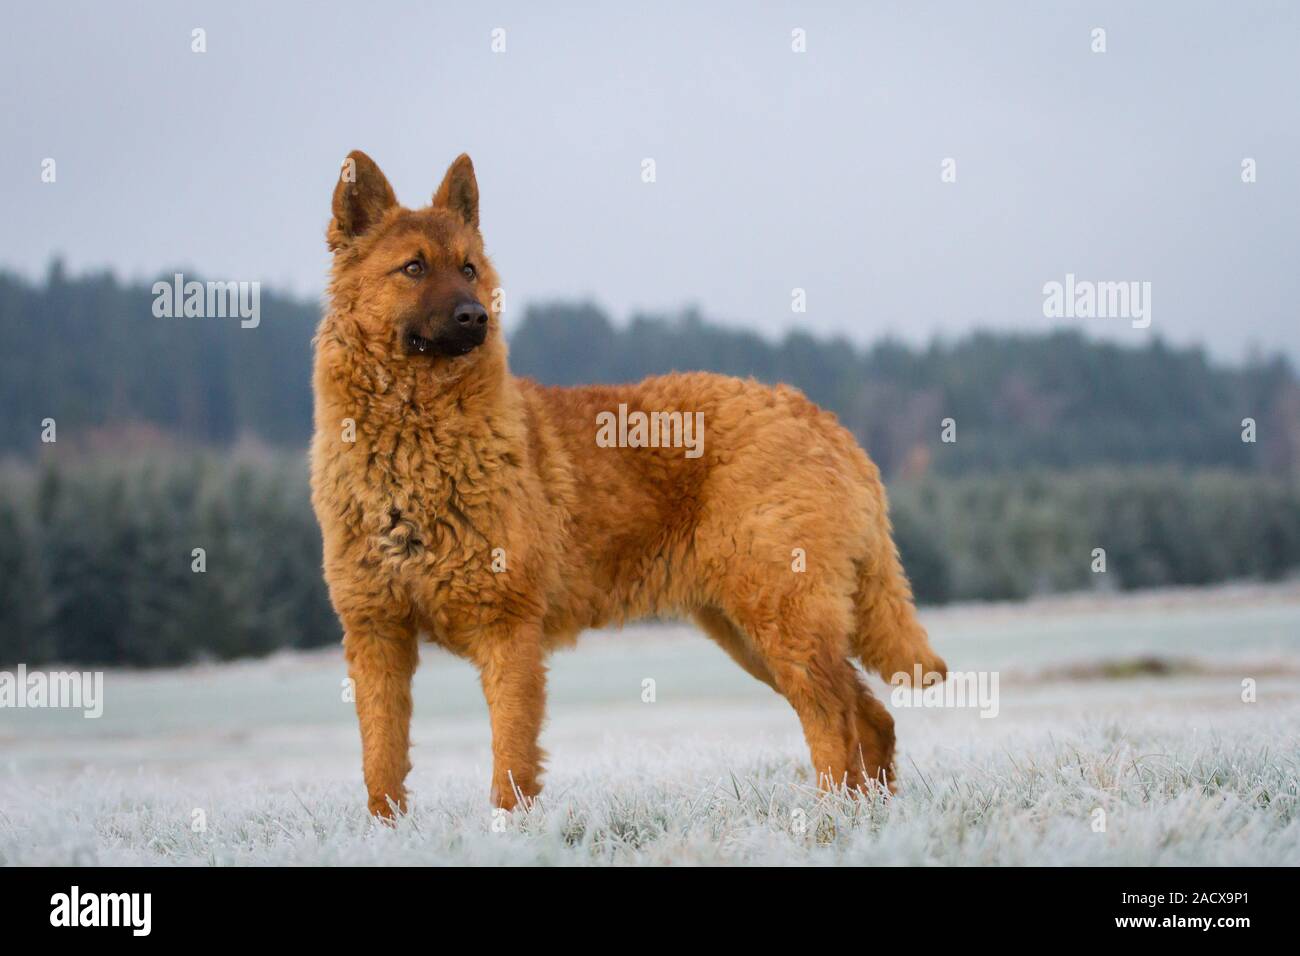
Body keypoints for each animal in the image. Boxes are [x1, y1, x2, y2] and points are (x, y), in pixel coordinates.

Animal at [310, 153, 951, 816]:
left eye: (468, 268)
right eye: (413, 267)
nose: (476, 317)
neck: (414, 447)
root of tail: (818, 417)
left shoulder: (507, 632)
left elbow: (510, 765)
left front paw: (509, 828)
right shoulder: (377, 635)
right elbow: (382, 766)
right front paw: (388, 831)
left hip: (782, 623)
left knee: (833, 721)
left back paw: (827, 815)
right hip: (751, 634)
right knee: (869, 717)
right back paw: (868, 813)